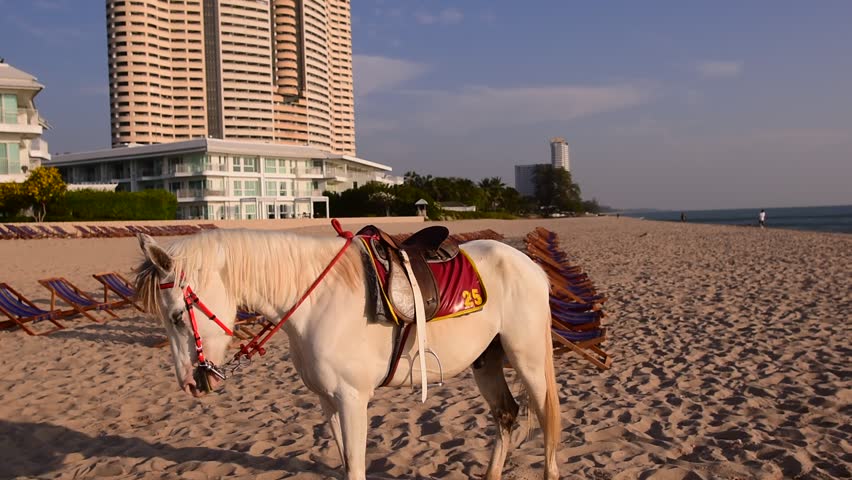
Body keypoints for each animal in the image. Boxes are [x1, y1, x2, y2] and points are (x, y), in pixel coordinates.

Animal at [134, 226, 561, 479]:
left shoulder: (353, 399)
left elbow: (355, 466)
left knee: (546, 421)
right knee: (506, 416)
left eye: (176, 316)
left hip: (529, 362)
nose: (190, 383)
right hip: (486, 363)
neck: (316, 299)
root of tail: (530, 267)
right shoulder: (328, 400)